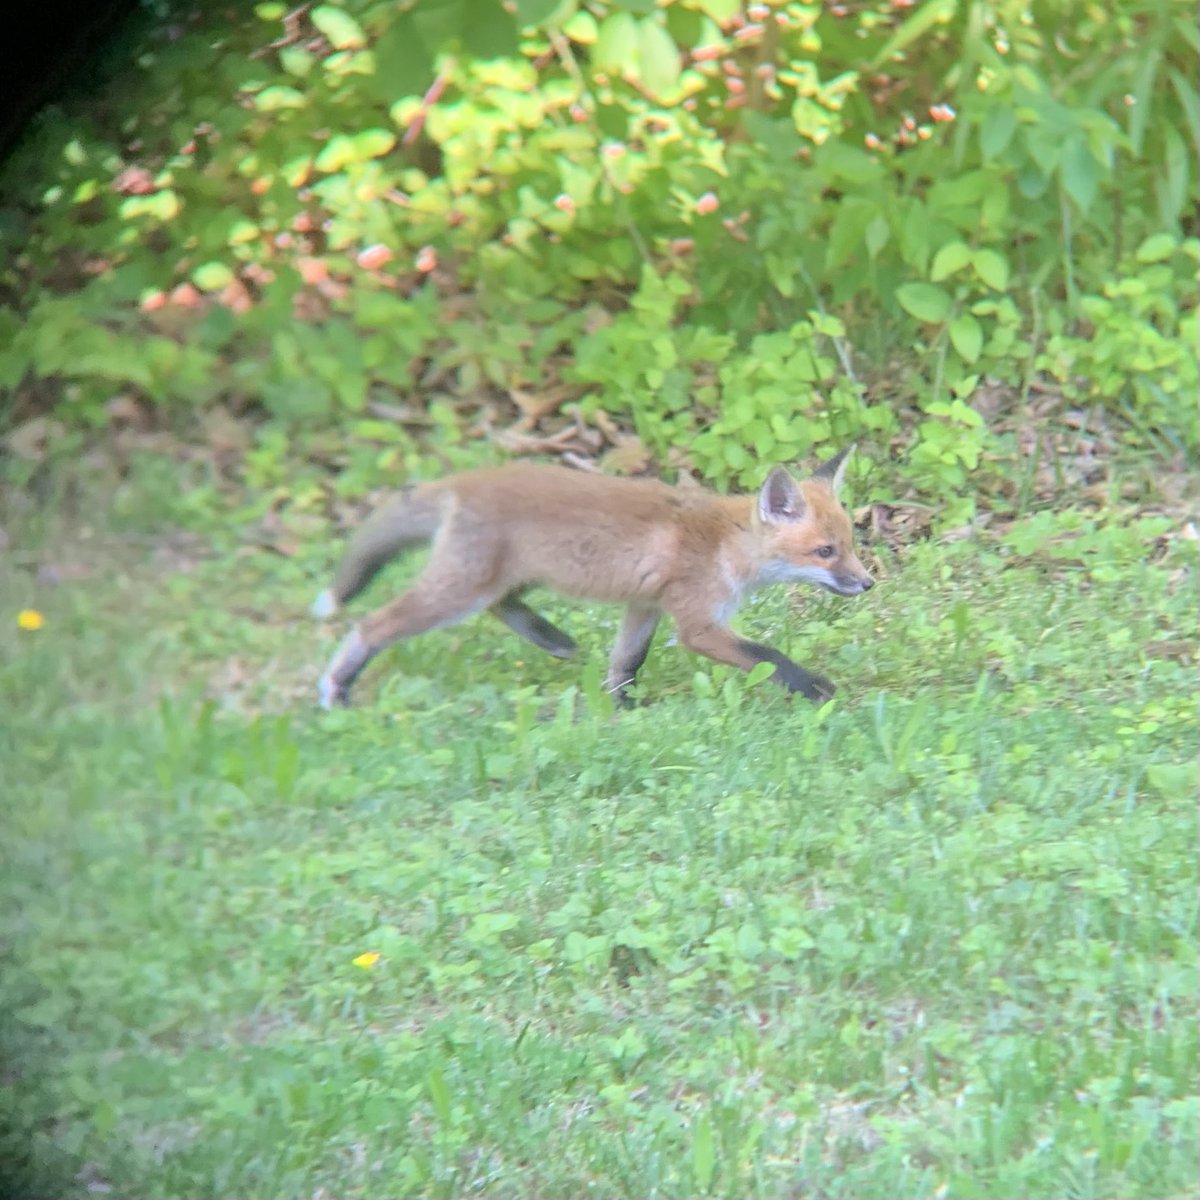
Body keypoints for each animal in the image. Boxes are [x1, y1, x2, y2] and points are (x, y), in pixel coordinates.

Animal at [313, 447, 873, 710]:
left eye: (851, 545)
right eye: (825, 552)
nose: (867, 584)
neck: (725, 543)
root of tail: (463, 480)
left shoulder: (645, 605)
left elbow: (626, 661)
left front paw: (623, 707)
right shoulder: (697, 623)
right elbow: (769, 656)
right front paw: (814, 686)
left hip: (505, 580)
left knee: (503, 605)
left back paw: (552, 638)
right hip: (459, 592)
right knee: (371, 625)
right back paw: (337, 691)